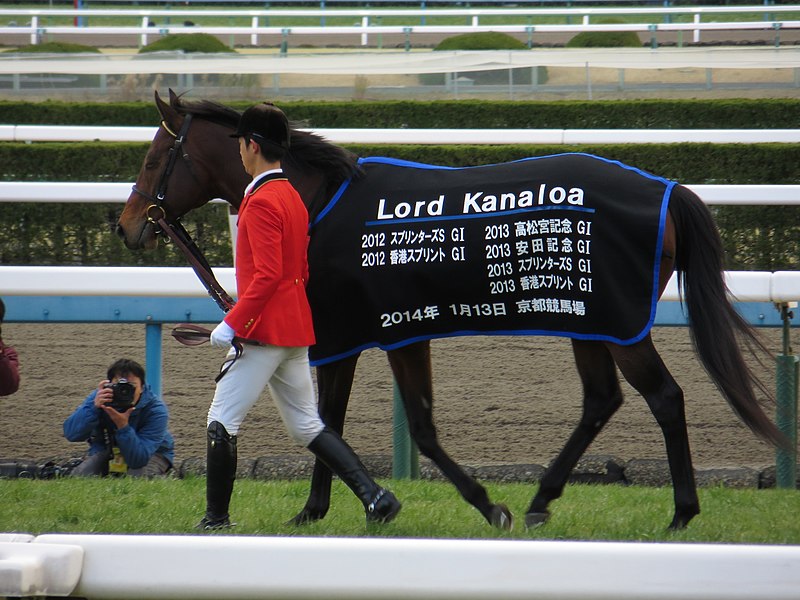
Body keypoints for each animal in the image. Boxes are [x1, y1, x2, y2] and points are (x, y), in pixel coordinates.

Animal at [115, 89, 784, 528]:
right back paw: (543, 500)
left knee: (663, 397)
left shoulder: (375, 334)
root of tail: (666, 191)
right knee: (603, 399)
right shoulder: (363, 336)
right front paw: (319, 509)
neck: (313, 199)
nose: (126, 226)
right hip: (586, 321)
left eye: (151, 158)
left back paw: (679, 514)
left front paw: (484, 505)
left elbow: (401, 426)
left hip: (618, 324)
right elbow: (344, 422)